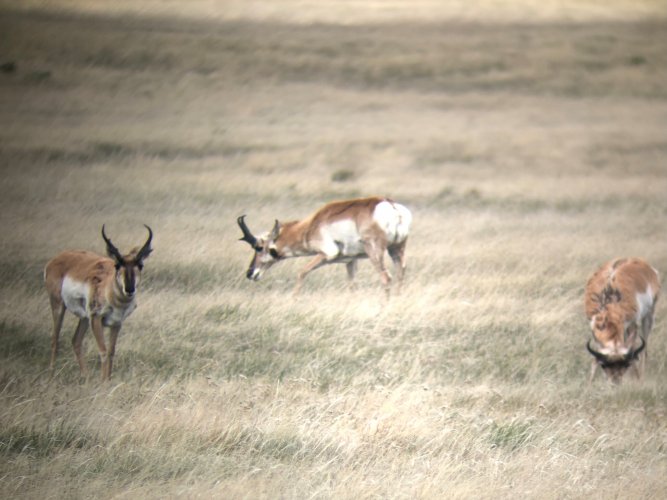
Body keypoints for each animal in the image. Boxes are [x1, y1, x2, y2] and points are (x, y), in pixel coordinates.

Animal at [44, 225, 153, 380]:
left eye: (140, 265)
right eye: (117, 265)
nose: (129, 289)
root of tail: (55, 259)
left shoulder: (116, 323)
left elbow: (111, 351)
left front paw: (108, 380)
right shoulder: (96, 319)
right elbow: (103, 351)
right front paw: (103, 381)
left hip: (84, 317)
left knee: (76, 341)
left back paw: (86, 376)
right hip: (59, 306)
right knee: (55, 338)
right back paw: (52, 374)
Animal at [237, 196, 412, 295]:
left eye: (259, 247)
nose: (250, 273)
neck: (312, 224)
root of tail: (392, 206)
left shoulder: (326, 255)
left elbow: (301, 273)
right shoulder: (350, 261)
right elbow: (352, 286)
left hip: (375, 252)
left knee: (386, 278)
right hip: (397, 249)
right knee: (400, 274)